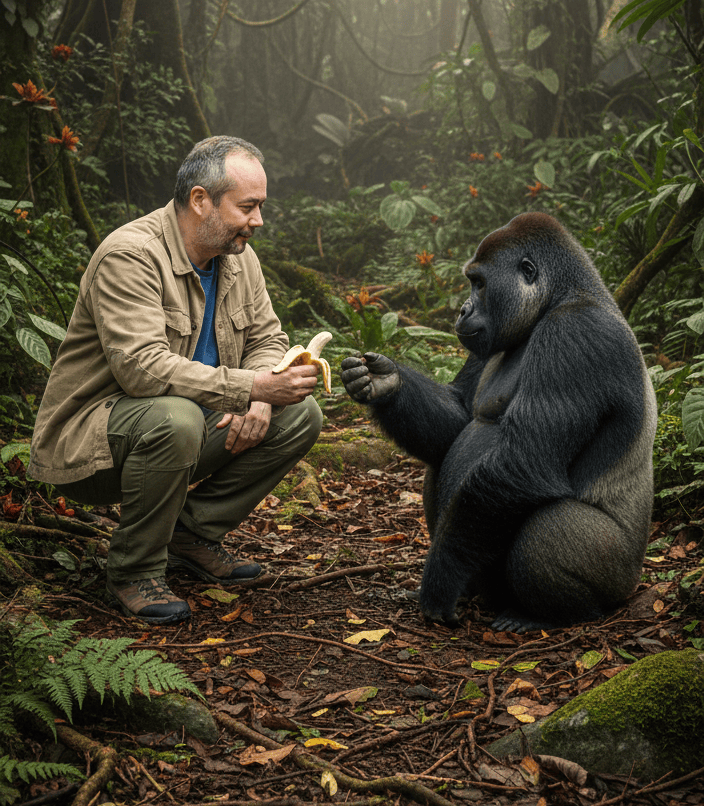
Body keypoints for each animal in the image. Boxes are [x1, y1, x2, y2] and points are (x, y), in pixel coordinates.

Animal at [341, 212, 657, 633]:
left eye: (479, 283)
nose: (462, 310)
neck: (561, 296)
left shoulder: (574, 333)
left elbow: (523, 462)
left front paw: (439, 580)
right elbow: (458, 421)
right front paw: (385, 382)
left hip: (621, 579)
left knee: (548, 526)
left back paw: (545, 615)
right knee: (441, 468)